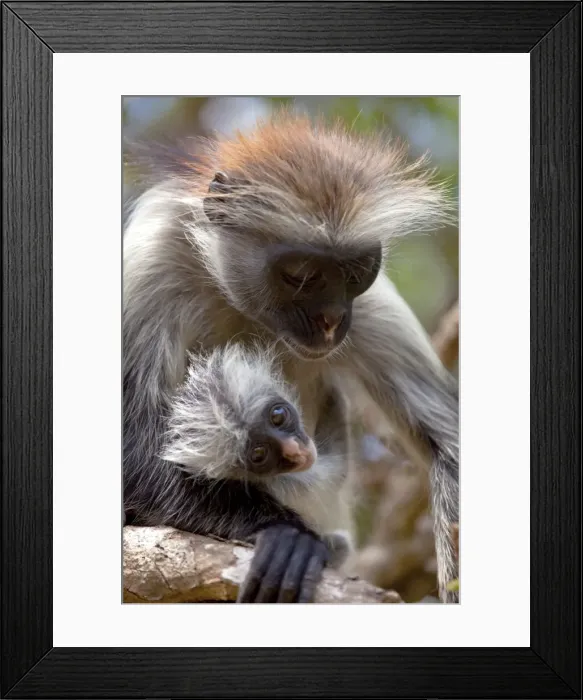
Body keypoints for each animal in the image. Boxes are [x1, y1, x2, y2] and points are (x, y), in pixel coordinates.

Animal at [123, 112, 459, 603]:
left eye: (355, 272)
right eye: (301, 275)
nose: (331, 319)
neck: (245, 307)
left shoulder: (369, 306)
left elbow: (449, 449)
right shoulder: (154, 258)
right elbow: (133, 459)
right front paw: (286, 534)